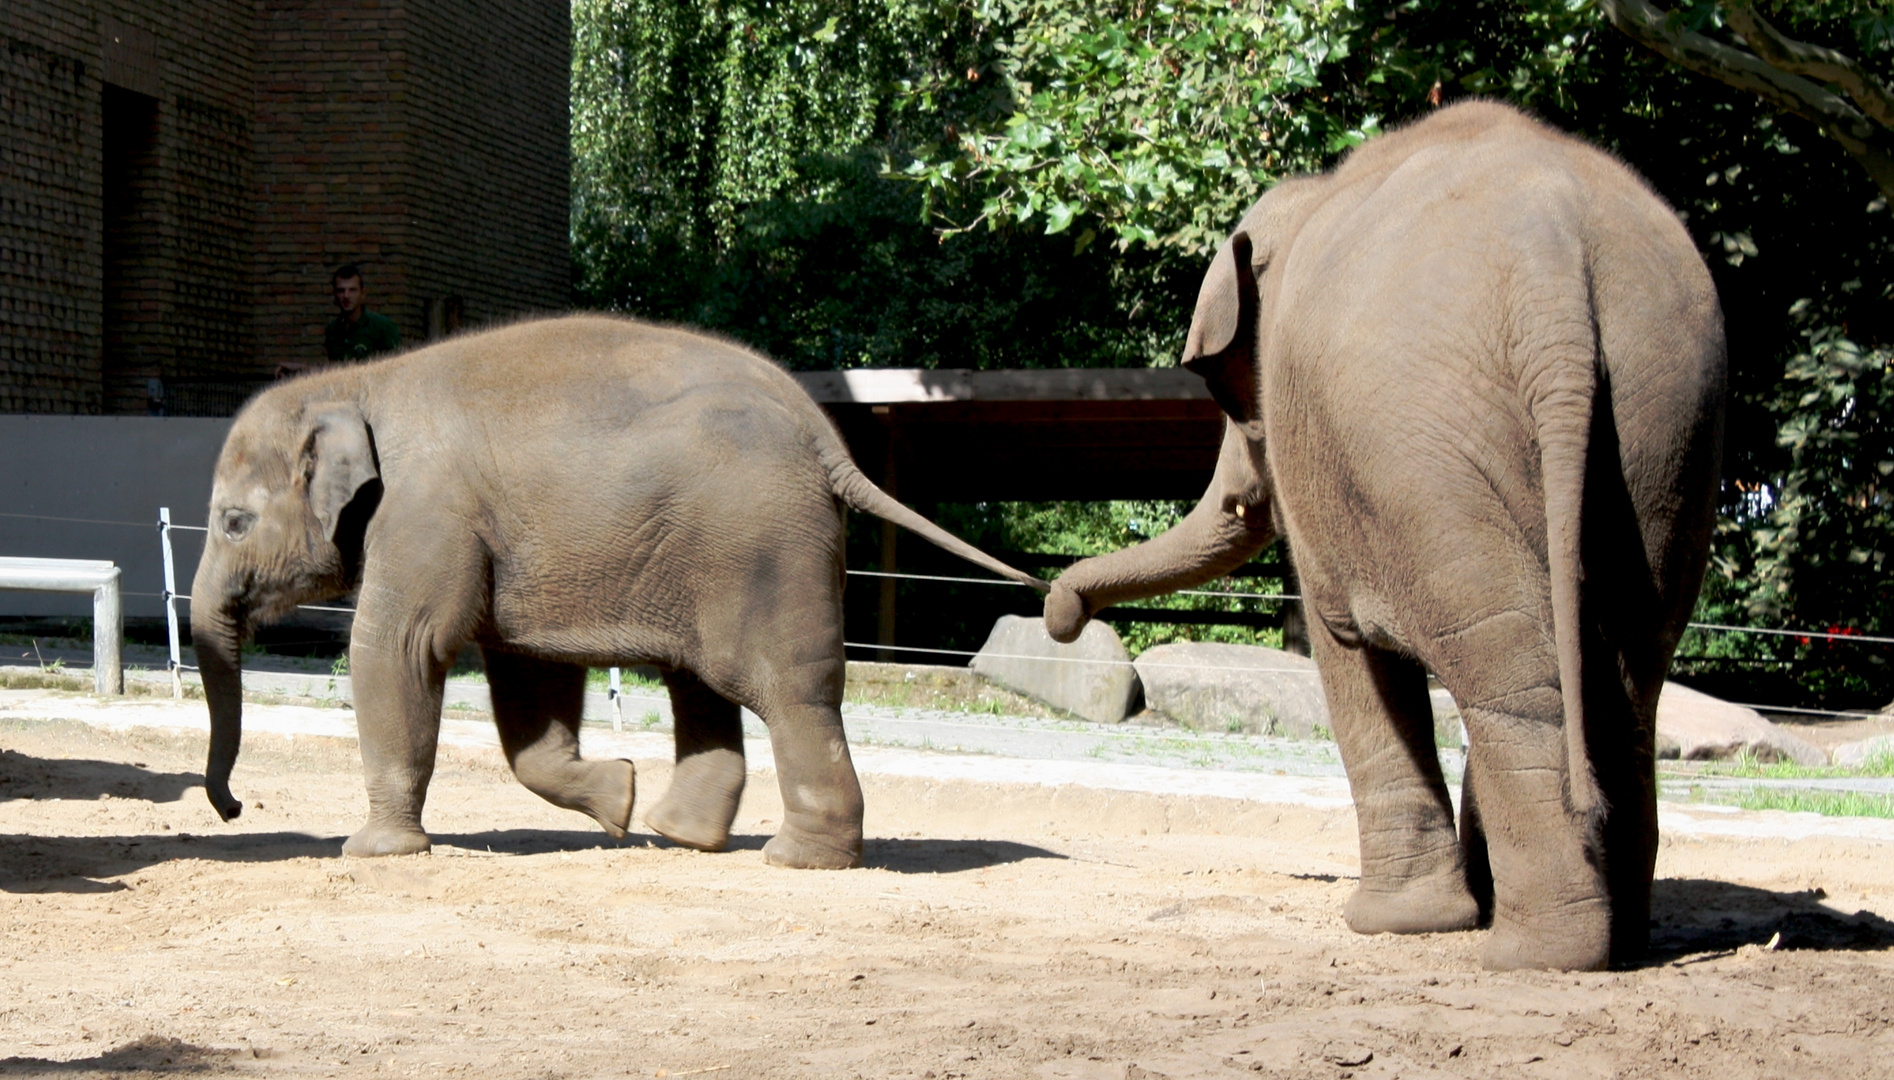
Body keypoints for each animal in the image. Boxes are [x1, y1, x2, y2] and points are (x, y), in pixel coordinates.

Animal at [192, 310, 1053, 867]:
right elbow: (529, 684)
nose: (234, 809)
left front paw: (372, 852)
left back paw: (796, 859)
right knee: (703, 685)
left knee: (785, 688)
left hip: (763, 545)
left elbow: (398, 651)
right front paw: (618, 800)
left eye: (233, 523)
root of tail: (823, 435)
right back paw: (679, 834)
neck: (356, 384)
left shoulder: (425, 517)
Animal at [1045, 105, 1727, 970]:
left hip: (1419, 445)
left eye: (1239, 405)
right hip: (1663, 420)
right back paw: (1614, 943)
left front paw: (1389, 922)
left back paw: (1533, 953)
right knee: (1621, 673)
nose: (1060, 614)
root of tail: (1554, 275)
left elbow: (1345, 645)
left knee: (1511, 673)